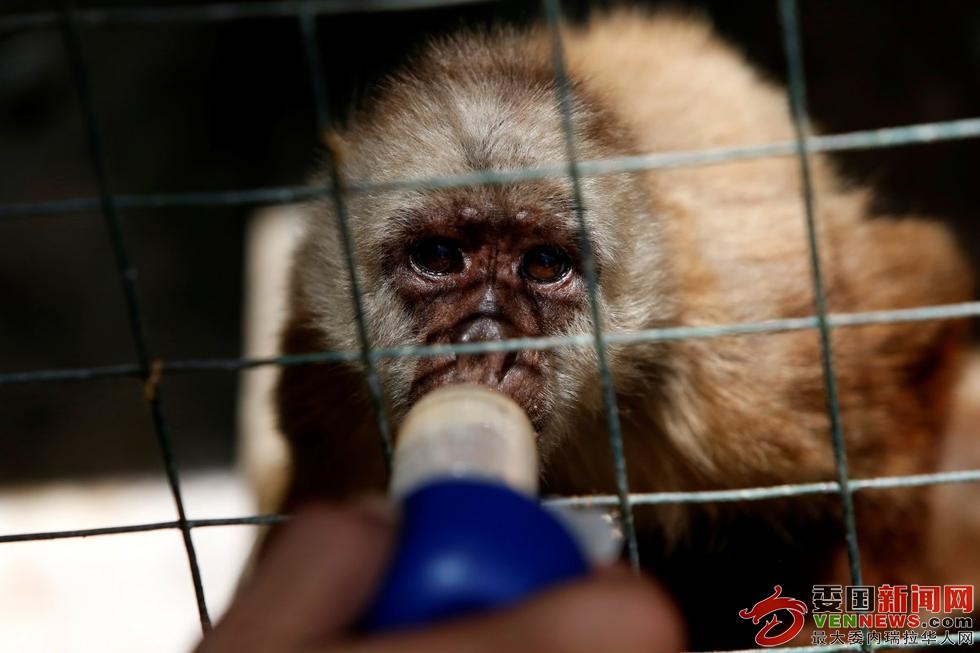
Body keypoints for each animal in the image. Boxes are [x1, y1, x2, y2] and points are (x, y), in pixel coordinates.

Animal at [264, 12, 976, 648]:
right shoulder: (325, 376)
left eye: (544, 265)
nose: (487, 345)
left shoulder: (751, 358)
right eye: (439, 258)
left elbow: (926, 299)